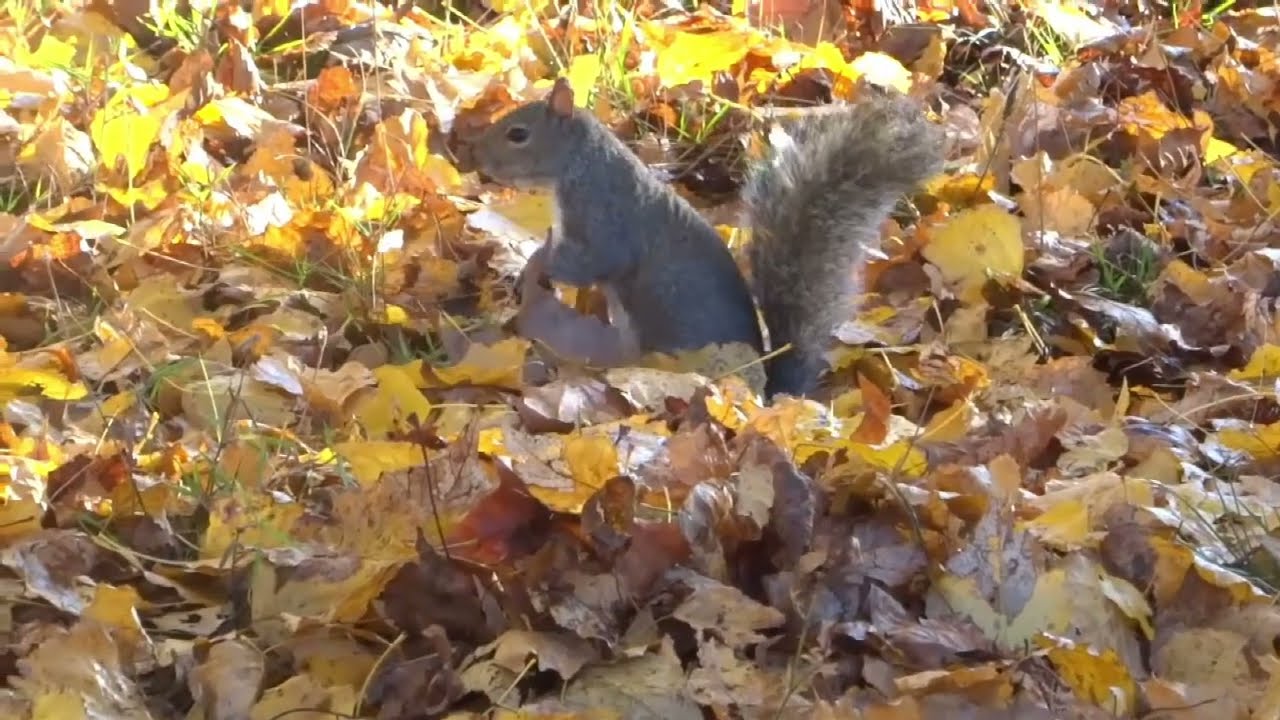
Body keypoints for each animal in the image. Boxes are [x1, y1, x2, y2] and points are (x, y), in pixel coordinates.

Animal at [459, 78, 944, 399]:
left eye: (518, 134)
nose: (476, 156)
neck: (579, 164)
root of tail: (766, 393)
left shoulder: (604, 217)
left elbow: (588, 262)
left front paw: (533, 266)